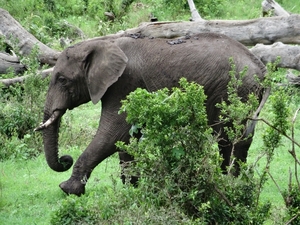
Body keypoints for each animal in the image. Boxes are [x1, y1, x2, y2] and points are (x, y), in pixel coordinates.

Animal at [35, 32, 268, 196]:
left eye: (62, 80)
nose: (65, 159)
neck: (101, 43)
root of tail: (261, 67)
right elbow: (125, 139)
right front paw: (133, 188)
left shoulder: (124, 84)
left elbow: (112, 135)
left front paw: (67, 189)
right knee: (237, 139)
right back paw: (231, 182)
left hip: (236, 90)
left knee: (230, 138)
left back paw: (229, 183)